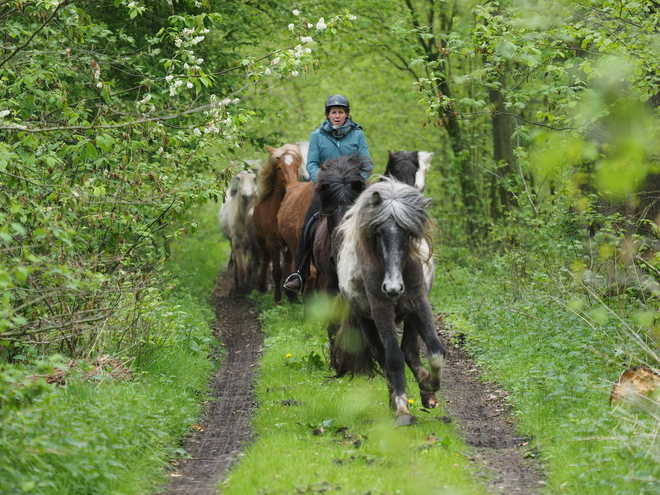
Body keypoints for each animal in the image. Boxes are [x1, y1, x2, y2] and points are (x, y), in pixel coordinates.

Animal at [253, 144, 304, 302]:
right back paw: (262, 284)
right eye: (279, 168)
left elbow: (289, 265)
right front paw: (277, 299)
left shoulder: (289, 242)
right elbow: (276, 272)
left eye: (297, 166)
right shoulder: (272, 242)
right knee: (266, 257)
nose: (291, 187)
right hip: (261, 240)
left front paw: (292, 295)